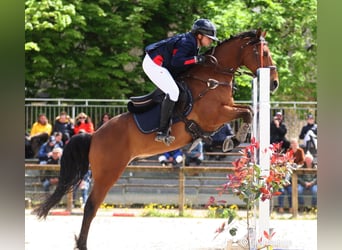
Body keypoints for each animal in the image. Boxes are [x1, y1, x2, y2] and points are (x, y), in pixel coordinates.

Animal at [34, 28, 280, 249]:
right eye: (265, 52)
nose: (275, 83)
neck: (212, 78)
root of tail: (94, 135)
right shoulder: (214, 115)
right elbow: (247, 112)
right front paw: (233, 140)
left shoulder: (222, 113)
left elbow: (247, 110)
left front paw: (228, 140)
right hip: (108, 172)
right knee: (91, 207)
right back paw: (82, 244)